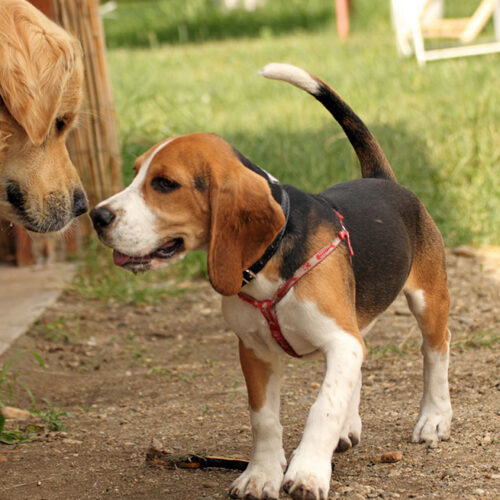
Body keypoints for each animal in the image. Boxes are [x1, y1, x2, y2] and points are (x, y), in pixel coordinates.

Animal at [91, 63, 454, 500]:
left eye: (165, 184)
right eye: (135, 175)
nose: (96, 216)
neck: (269, 258)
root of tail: (382, 179)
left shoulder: (340, 341)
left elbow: (323, 407)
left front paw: (308, 472)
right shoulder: (256, 350)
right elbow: (263, 418)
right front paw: (261, 474)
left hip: (427, 299)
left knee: (435, 350)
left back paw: (434, 418)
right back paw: (349, 427)